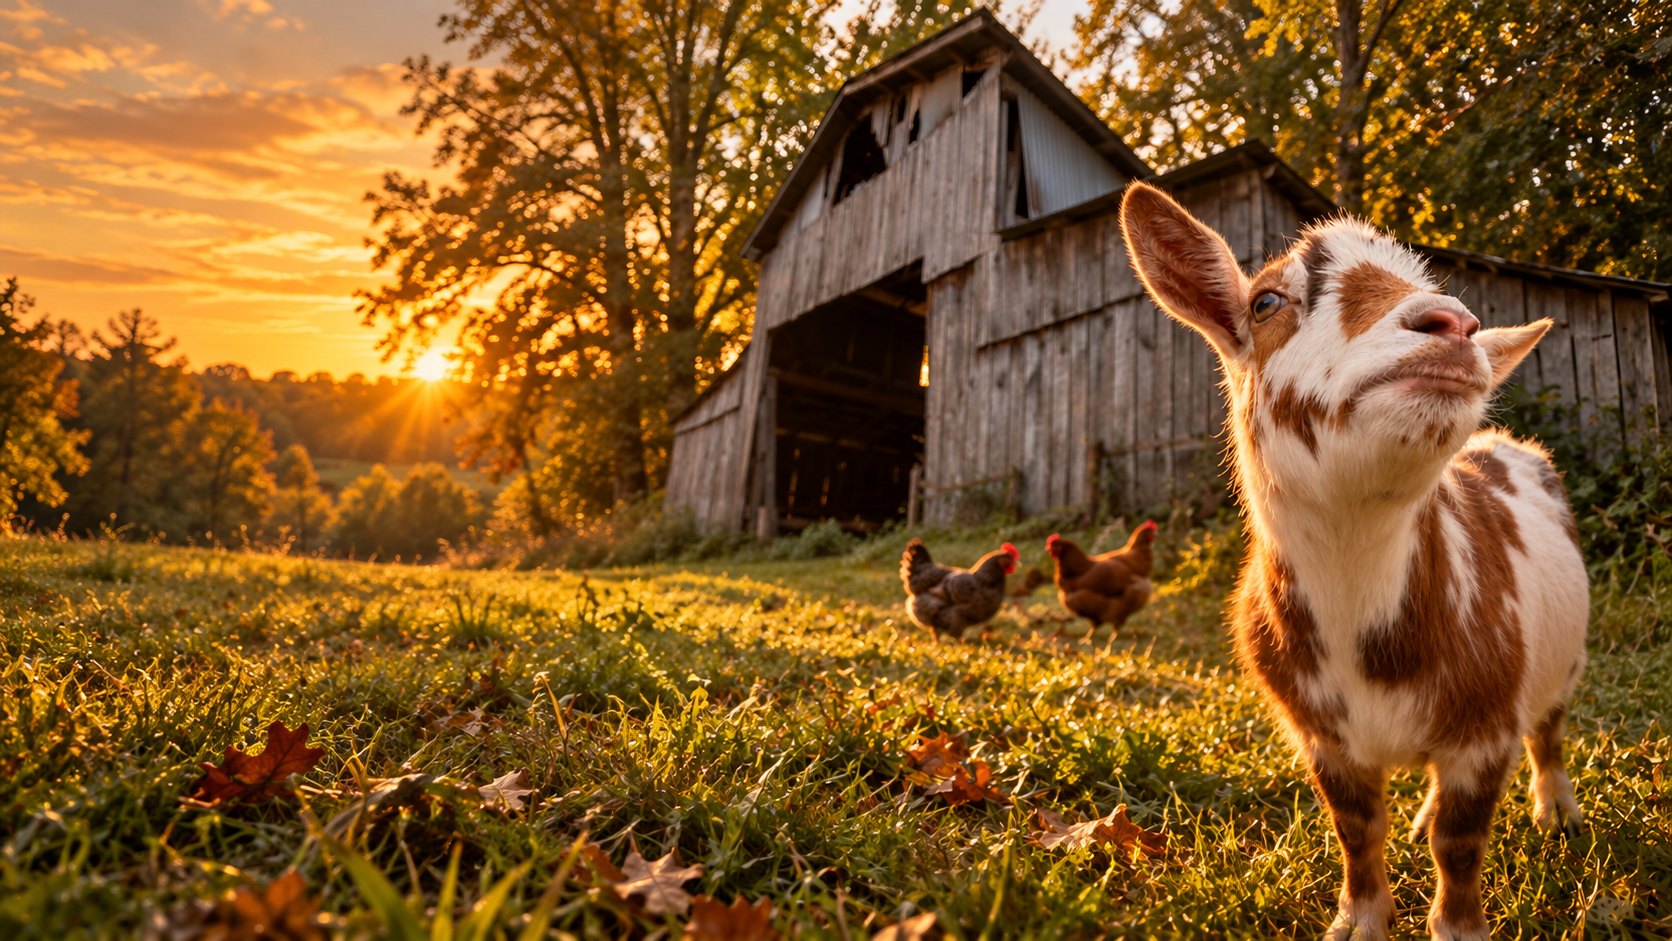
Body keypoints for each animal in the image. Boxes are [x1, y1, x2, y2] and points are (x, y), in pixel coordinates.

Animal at [1120, 182, 1587, 940]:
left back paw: (1557, 810)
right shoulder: (1321, 736)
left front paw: (1457, 926)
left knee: (1548, 731)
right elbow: (1358, 830)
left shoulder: (1486, 724)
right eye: (1265, 302)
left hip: (1564, 659)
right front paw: (1359, 919)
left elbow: (1459, 841)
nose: (1454, 324)